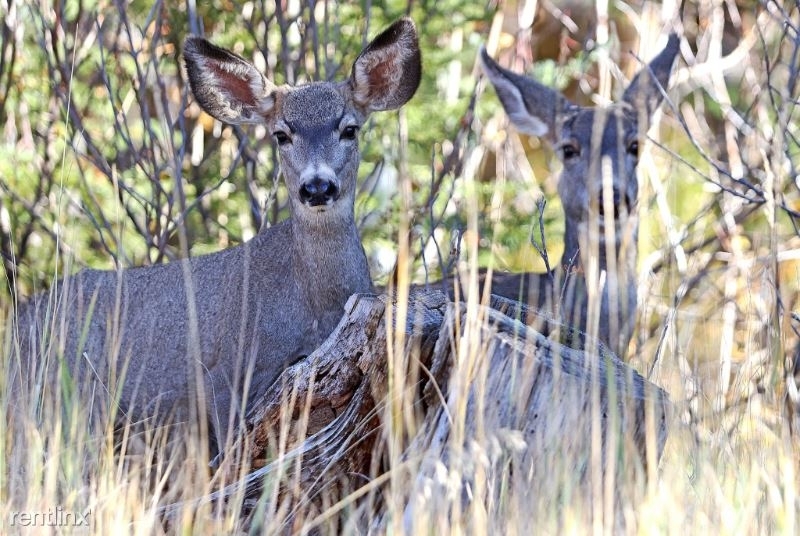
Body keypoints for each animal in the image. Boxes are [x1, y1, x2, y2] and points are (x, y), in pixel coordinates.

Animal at [10, 16, 424, 452]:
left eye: (349, 129)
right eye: (281, 134)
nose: (316, 187)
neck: (315, 304)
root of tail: (20, 321)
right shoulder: (225, 376)